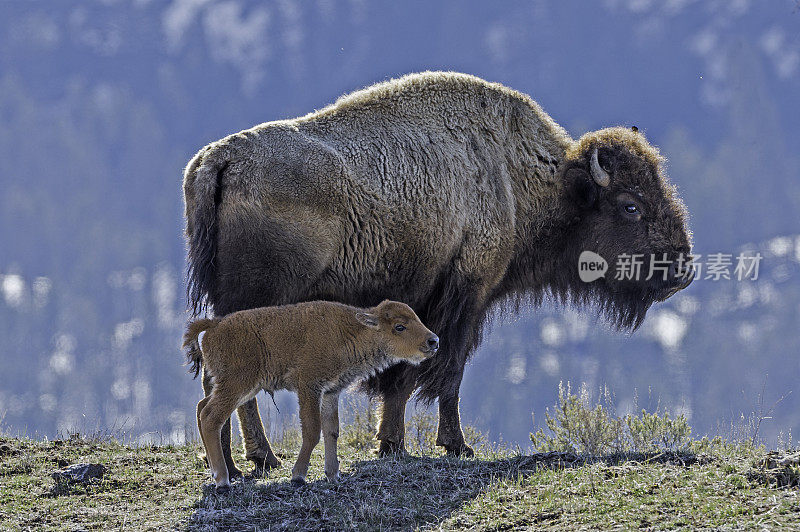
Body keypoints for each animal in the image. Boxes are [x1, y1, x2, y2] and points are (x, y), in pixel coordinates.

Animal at [184, 300, 438, 490]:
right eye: (399, 327)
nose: (433, 341)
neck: (351, 331)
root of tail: (214, 325)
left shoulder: (331, 392)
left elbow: (332, 431)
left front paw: (333, 474)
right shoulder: (309, 388)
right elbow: (312, 430)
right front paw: (298, 476)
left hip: (239, 387)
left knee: (201, 407)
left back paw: (214, 472)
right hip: (236, 385)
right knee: (211, 417)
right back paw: (222, 481)